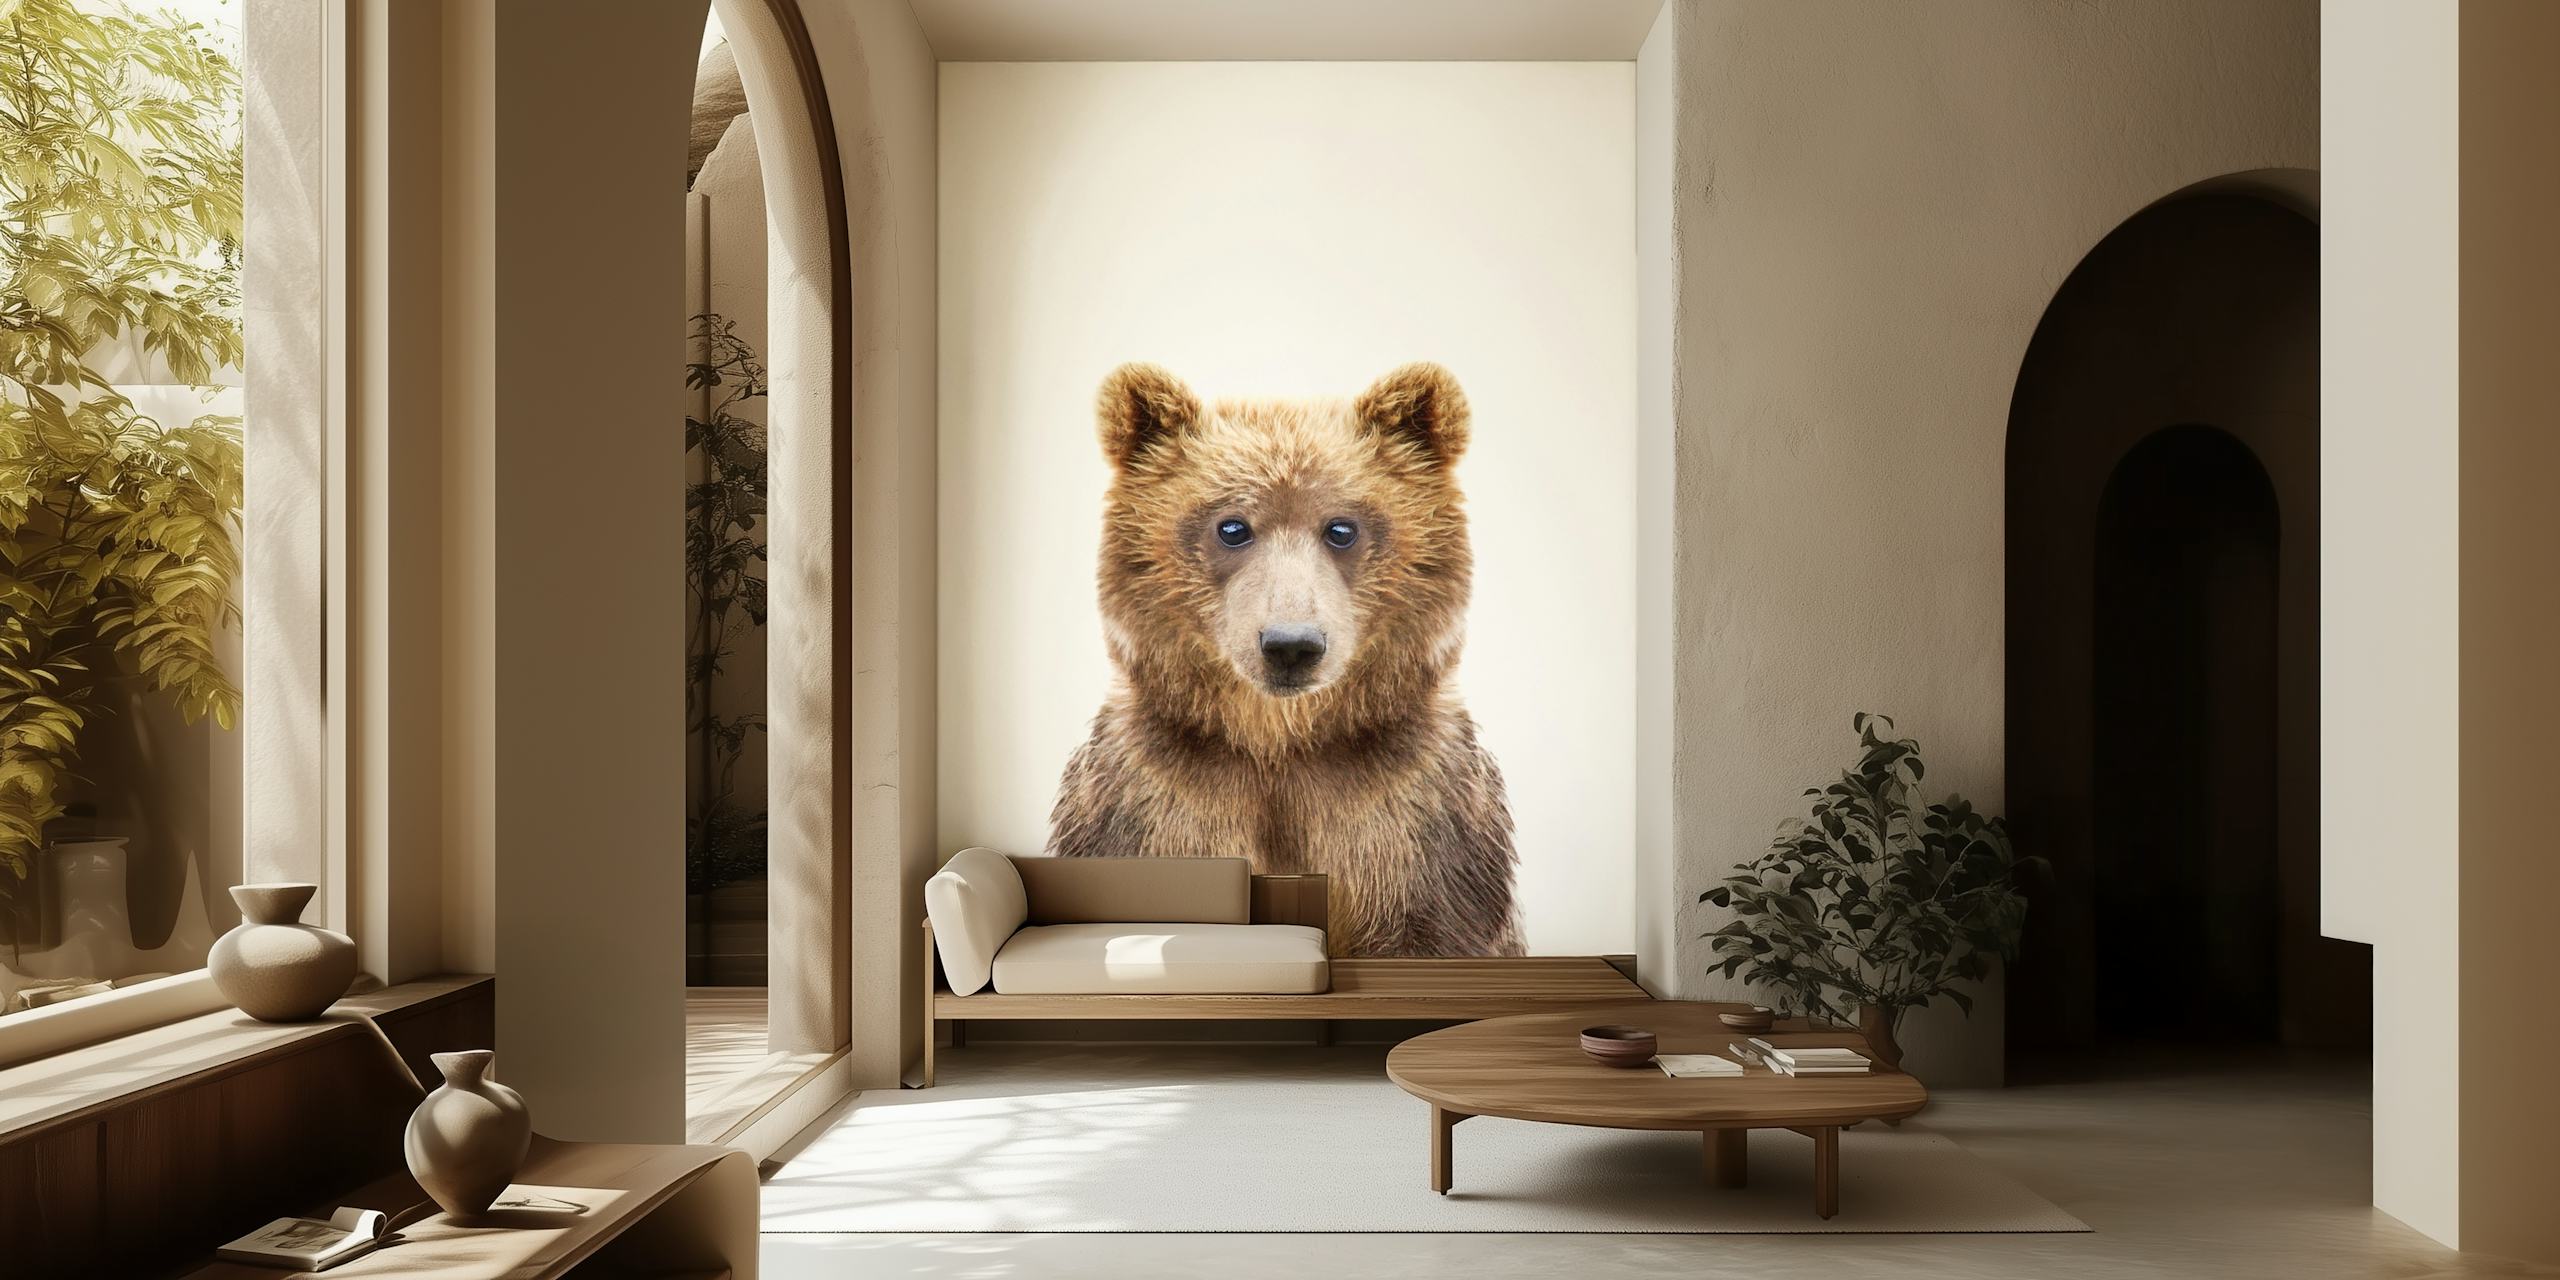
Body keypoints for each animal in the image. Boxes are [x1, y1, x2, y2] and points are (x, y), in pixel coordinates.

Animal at [1045, 361, 1523, 958]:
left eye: (1342, 527)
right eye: (1232, 526)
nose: (1290, 645)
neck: (1281, 744)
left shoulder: (1416, 820)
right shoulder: (1150, 802)